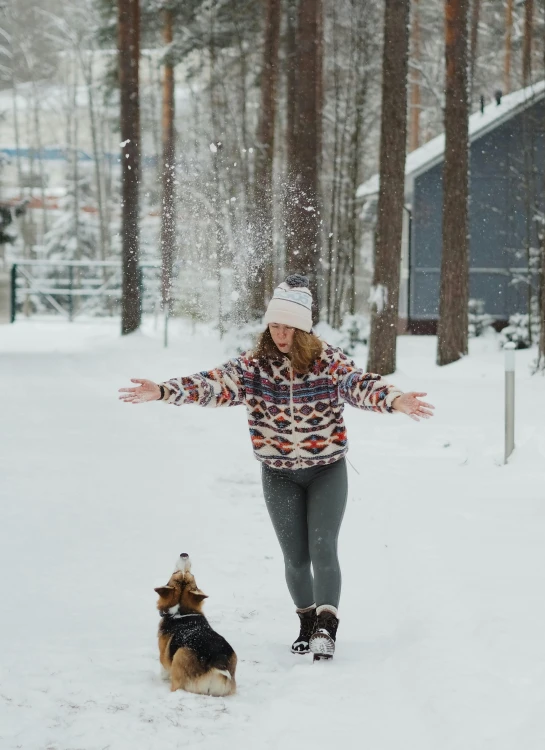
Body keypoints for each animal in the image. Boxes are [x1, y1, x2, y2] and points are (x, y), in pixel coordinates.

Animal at [154, 552, 237, 700]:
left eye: (175, 572)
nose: (184, 554)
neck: (181, 611)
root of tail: (218, 661)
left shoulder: (163, 658)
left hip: (179, 657)